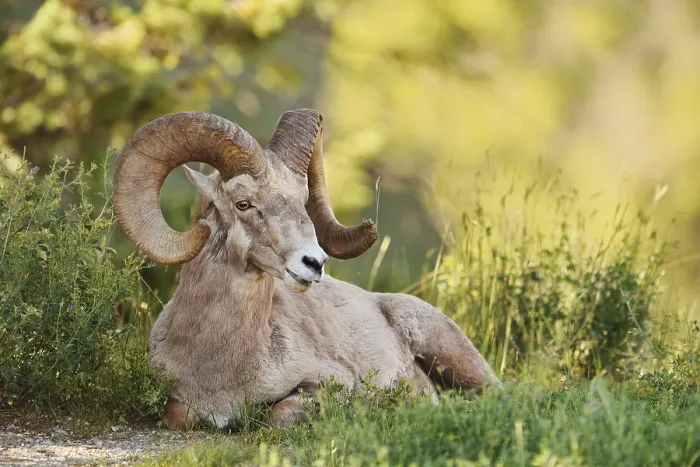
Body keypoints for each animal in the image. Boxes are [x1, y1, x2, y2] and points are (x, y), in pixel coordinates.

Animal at [113, 109, 501, 430]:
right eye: (243, 204)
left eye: (303, 202)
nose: (314, 263)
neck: (219, 365)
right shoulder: (179, 406)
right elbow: (179, 416)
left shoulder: (328, 384)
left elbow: (277, 416)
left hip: (457, 357)